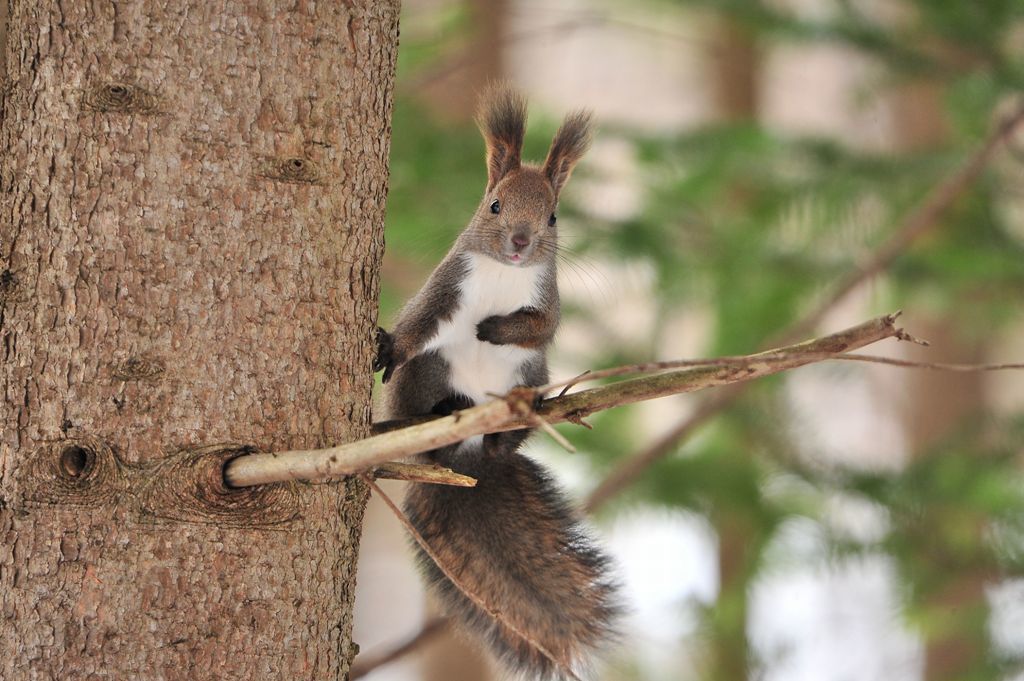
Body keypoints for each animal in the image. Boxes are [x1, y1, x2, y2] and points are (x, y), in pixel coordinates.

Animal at [374, 86, 618, 679]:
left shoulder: (547, 303)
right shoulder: (445, 288)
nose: (521, 242)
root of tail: (468, 459)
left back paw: (507, 433)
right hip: (429, 376)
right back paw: (439, 417)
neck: (505, 275)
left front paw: (494, 329)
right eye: (495, 206)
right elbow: (417, 326)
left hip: (530, 376)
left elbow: (541, 327)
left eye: (552, 216)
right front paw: (389, 346)